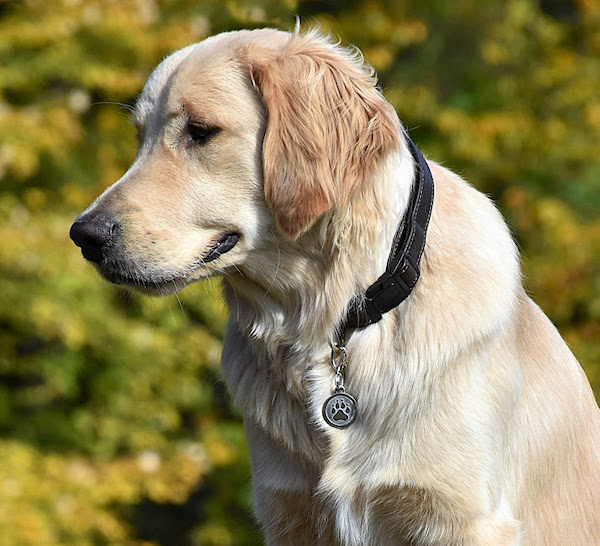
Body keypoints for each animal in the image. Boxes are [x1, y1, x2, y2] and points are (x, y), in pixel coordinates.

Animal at [71, 28, 600, 540]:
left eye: (200, 131)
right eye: (140, 137)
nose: (84, 236)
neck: (335, 320)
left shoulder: (464, 517)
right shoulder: (292, 512)